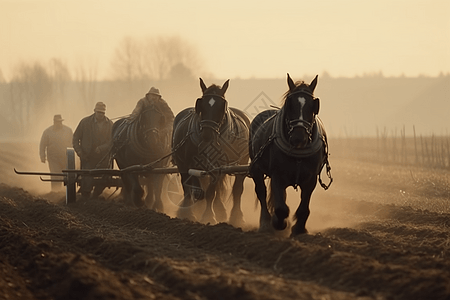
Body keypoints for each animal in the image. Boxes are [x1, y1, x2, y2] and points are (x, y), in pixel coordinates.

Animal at [171, 78, 250, 226]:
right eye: (202, 105)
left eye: (221, 106)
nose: (207, 135)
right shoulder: (186, 163)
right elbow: (191, 187)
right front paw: (188, 213)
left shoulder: (217, 166)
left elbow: (211, 192)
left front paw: (208, 216)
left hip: (241, 164)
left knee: (237, 190)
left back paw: (236, 217)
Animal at [250, 74, 330, 236]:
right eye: (290, 104)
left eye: (313, 106)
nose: (299, 137)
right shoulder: (277, 175)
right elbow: (281, 208)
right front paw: (279, 223)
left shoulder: (311, 178)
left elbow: (304, 207)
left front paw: (299, 229)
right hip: (256, 169)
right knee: (261, 192)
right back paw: (265, 223)